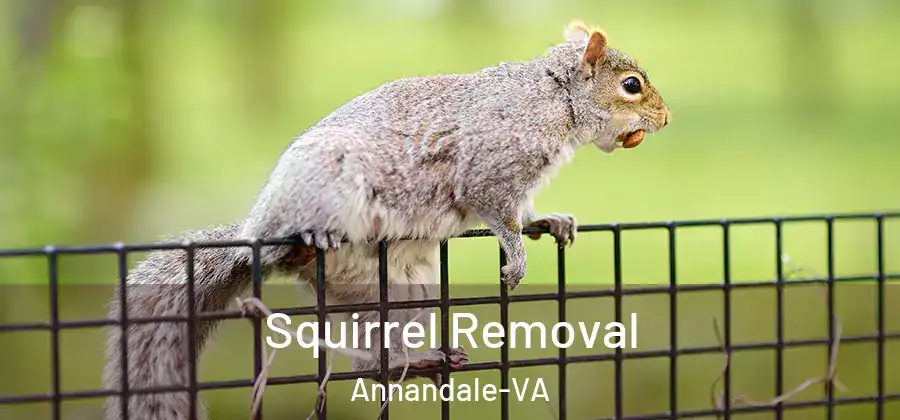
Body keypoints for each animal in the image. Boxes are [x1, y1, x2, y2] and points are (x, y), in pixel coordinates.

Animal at [102, 20, 670, 420]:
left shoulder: (519, 183)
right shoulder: (489, 168)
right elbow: (498, 214)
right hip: (326, 187)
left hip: (399, 292)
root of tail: (252, 235)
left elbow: (525, 211)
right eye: (631, 85)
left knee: (372, 364)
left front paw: (550, 222)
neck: (554, 98)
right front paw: (516, 257)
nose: (665, 120)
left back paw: (415, 361)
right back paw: (307, 240)